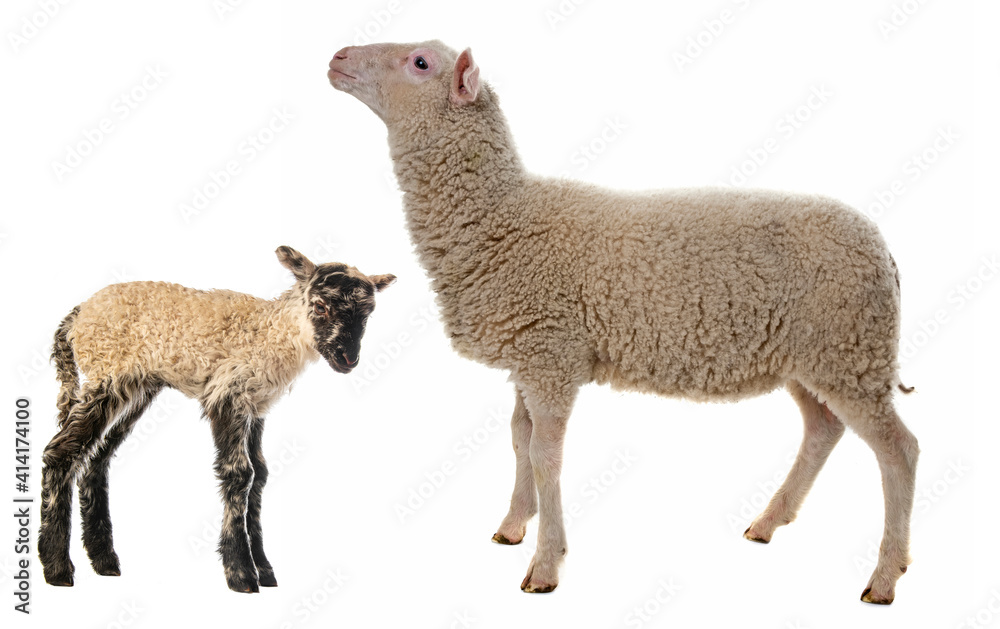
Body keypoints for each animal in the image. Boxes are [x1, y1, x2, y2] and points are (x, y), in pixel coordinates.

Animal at [38, 246, 395, 592]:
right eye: (320, 307)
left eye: (368, 314)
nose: (348, 359)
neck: (271, 333)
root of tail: (77, 315)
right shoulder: (228, 396)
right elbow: (240, 474)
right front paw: (242, 573)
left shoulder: (255, 407)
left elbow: (260, 475)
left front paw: (265, 570)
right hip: (107, 373)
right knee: (61, 452)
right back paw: (57, 568)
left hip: (137, 386)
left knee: (95, 460)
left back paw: (104, 561)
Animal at [328, 41, 919, 604]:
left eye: (420, 63)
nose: (337, 58)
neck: (504, 217)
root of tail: (883, 250)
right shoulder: (529, 352)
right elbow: (519, 439)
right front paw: (514, 525)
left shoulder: (552, 355)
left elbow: (545, 455)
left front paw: (546, 566)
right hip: (815, 357)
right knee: (823, 428)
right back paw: (770, 522)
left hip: (851, 347)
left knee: (900, 452)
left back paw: (885, 577)